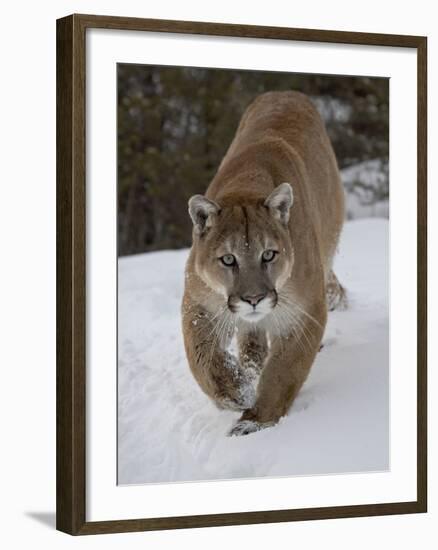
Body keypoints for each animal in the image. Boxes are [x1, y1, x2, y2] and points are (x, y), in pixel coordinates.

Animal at [181, 91, 346, 436]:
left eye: (268, 254)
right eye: (228, 259)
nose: (253, 299)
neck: (246, 185)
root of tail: (287, 93)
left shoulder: (304, 310)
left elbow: (283, 371)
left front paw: (254, 421)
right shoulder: (200, 303)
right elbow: (203, 359)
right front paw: (237, 393)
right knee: (252, 342)